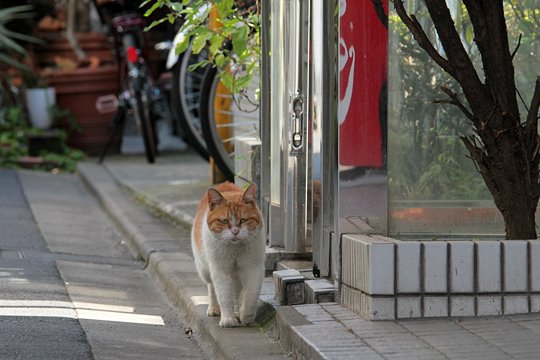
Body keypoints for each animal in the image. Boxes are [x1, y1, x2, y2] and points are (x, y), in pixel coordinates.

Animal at [191, 181, 264, 328]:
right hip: (205, 270)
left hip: (236, 275)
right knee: (212, 287)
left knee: (236, 292)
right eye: (225, 221)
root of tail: (223, 183)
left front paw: (246, 316)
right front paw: (228, 319)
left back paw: (237, 312)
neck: (235, 250)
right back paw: (214, 308)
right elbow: (224, 295)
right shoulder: (220, 270)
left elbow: (251, 295)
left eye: (243, 220)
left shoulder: (254, 268)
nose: (235, 231)